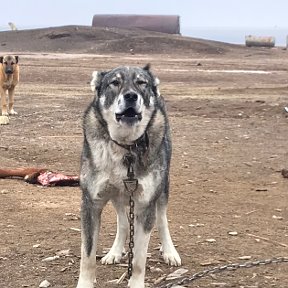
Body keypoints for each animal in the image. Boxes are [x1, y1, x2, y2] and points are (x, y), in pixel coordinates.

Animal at [76, 64, 180, 288]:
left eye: (141, 83)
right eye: (114, 83)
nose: (131, 96)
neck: (126, 147)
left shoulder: (145, 205)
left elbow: (139, 258)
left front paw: (135, 282)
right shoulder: (90, 203)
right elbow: (87, 256)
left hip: (162, 189)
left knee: (162, 220)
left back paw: (169, 251)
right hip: (118, 194)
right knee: (123, 222)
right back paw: (114, 252)